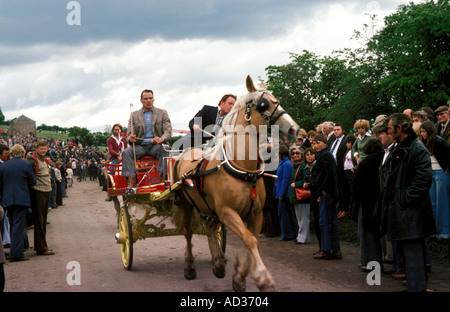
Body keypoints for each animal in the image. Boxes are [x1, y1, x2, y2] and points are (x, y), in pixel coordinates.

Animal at [172, 75, 298, 290]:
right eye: (263, 104)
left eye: (277, 100)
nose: (294, 129)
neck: (242, 169)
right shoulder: (228, 212)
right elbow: (249, 239)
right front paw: (263, 277)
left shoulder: (256, 213)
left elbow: (252, 240)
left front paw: (239, 277)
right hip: (186, 204)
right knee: (188, 233)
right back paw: (190, 268)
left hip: (208, 207)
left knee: (210, 228)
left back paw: (218, 263)